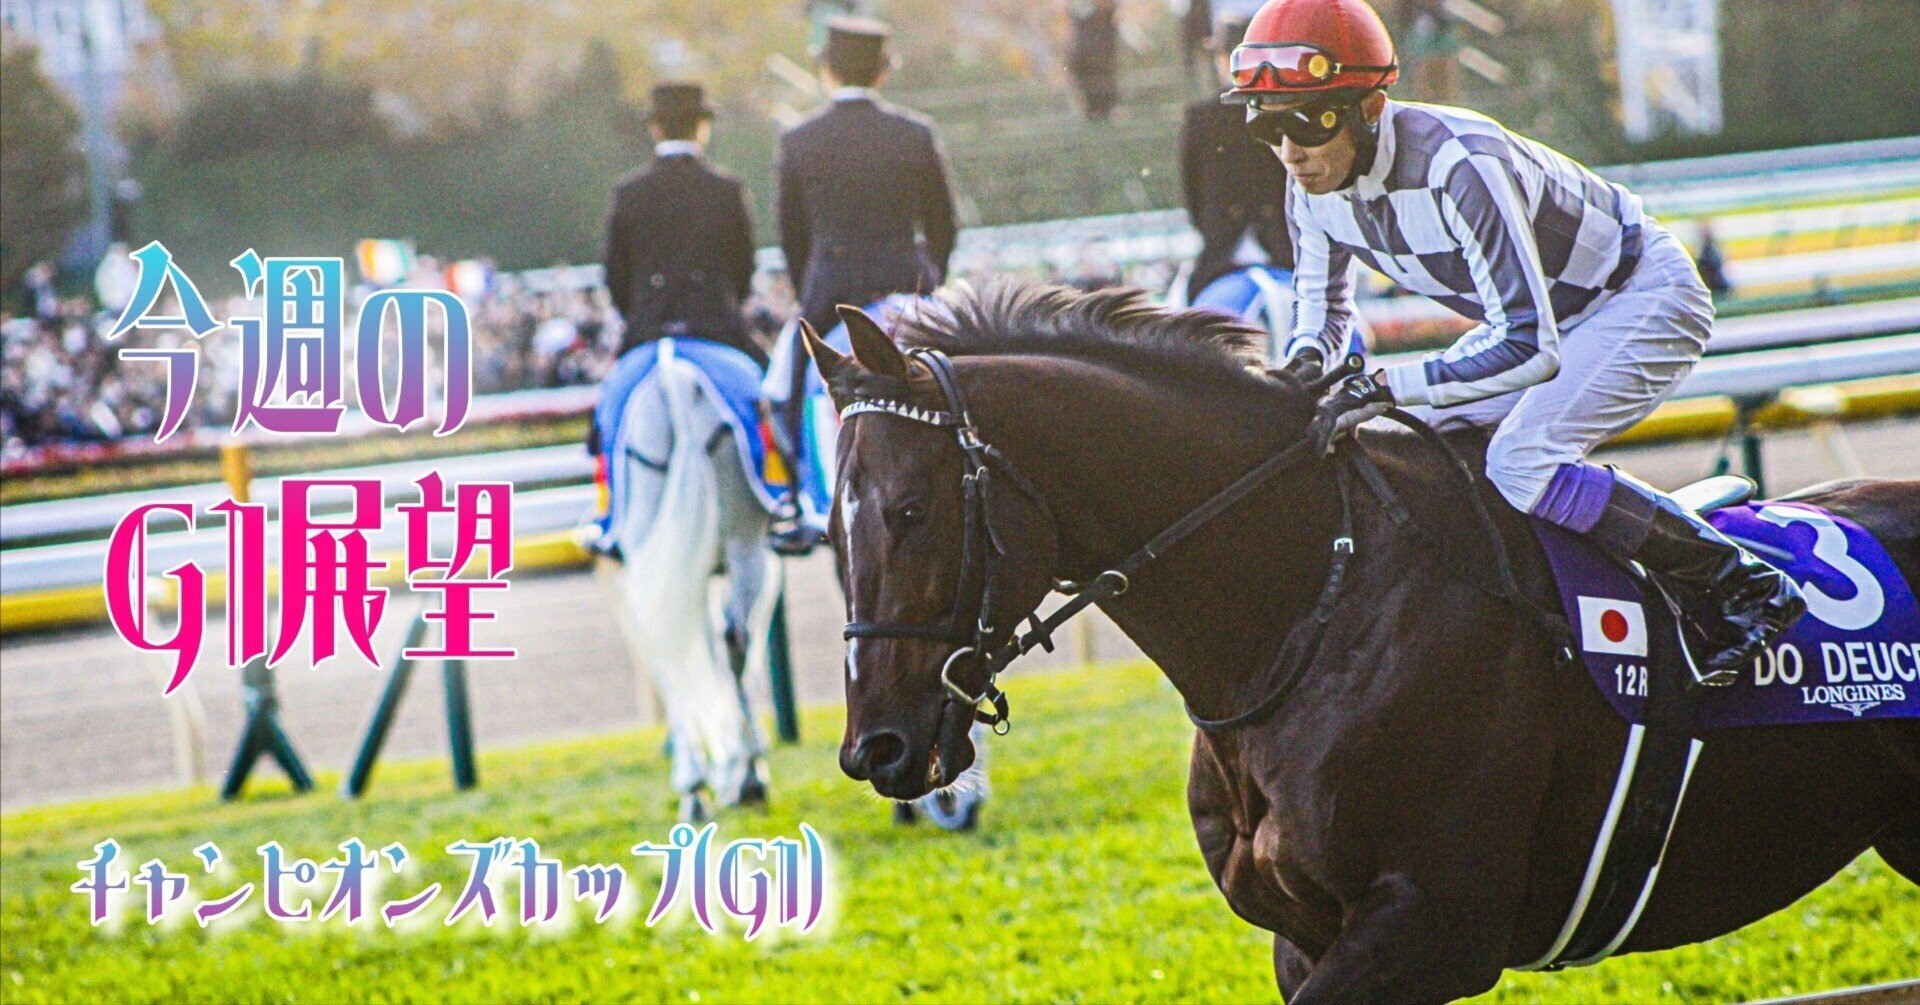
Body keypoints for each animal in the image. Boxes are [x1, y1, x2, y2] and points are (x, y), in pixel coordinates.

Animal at [603, 338, 782, 823]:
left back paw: (697, 786)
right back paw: (741, 775)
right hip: (744, 548)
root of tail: (672, 376)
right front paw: (741, 769)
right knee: (733, 639)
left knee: (672, 644)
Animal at [805, 283, 1920, 1003]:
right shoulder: (1305, 935)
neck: (1307, 612)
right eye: (828, 527)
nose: (877, 746)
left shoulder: (1433, 924)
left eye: (909, 512)